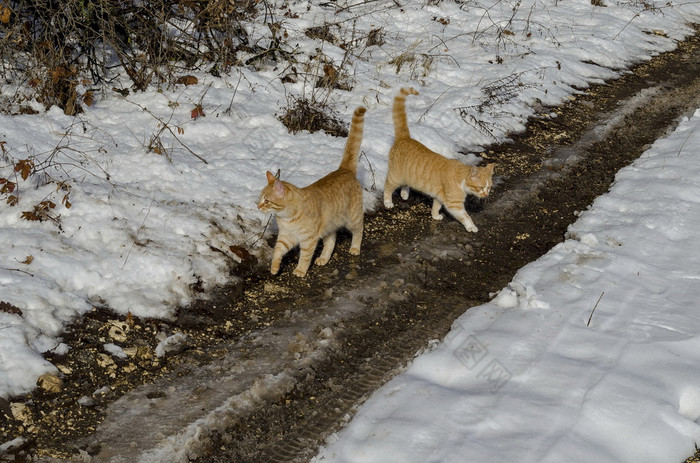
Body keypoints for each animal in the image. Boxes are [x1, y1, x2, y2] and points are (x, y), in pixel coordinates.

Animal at [258, 107, 366, 278]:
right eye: (260, 199)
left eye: (266, 201)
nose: (258, 206)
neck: (287, 218)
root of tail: (343, 170)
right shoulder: (286, 237)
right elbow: (277, 251)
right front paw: (274, 267)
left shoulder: (308, 240)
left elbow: (305, 256)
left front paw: (300, 270)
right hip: (329, 225)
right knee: (331, 241)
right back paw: (323, 258)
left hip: (352, 219)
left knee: (359, 230)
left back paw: (355, 248)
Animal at [382, 88, 498, 232]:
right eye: (481, 187)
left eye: (489, 187)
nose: (486, 195)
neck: (461, 179)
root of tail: (404, 137)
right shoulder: (454, 204)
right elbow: (466, 216)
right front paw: (472, 227)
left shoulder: (439, 196)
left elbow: (436, 206)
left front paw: (435, 216)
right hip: (396, 176)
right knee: (388, 186)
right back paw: (388, 202)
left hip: (406, 176)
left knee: (405, 184)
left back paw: (404, 194)